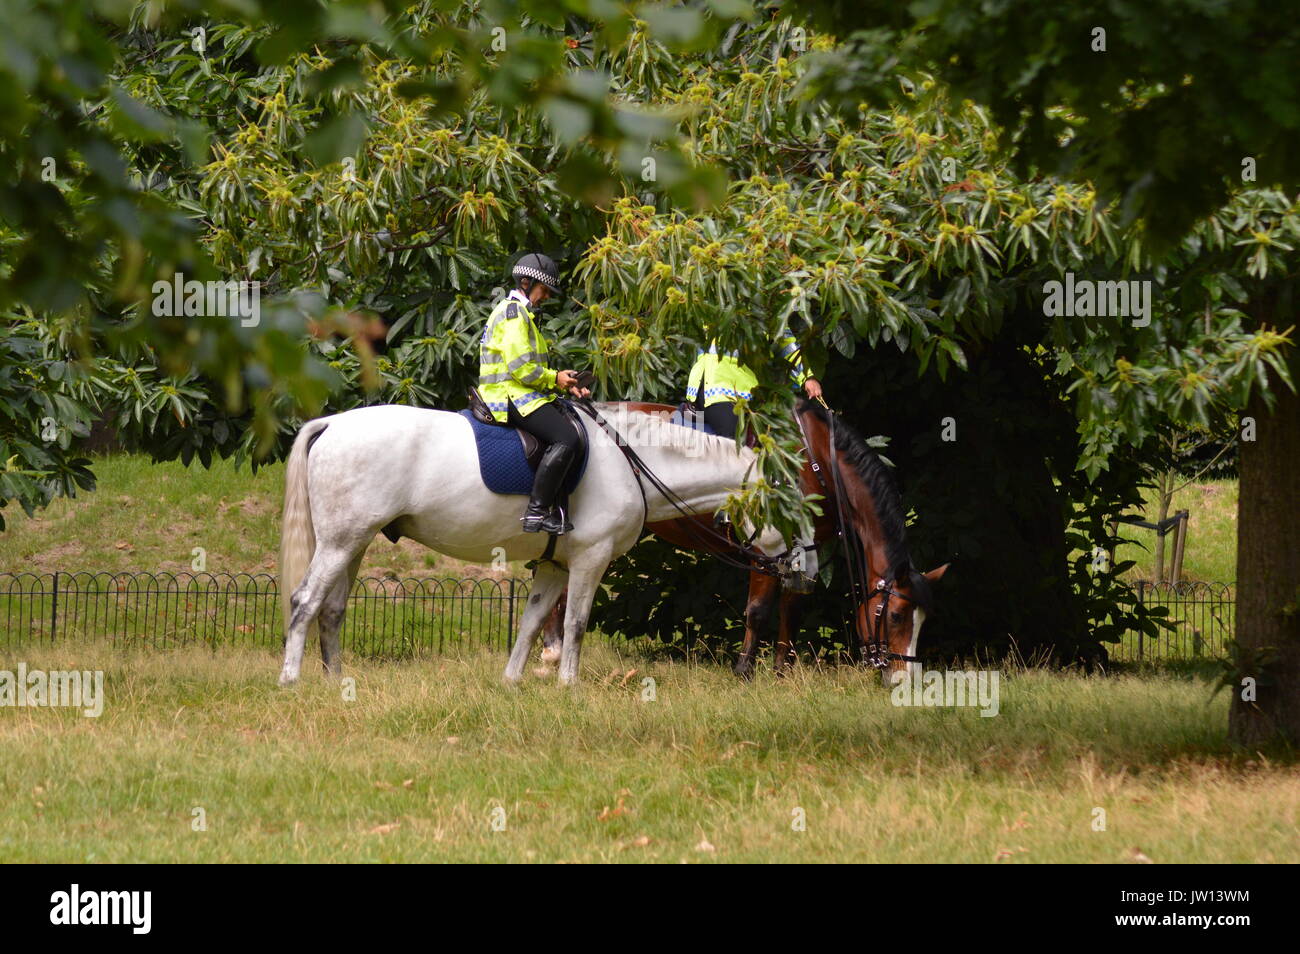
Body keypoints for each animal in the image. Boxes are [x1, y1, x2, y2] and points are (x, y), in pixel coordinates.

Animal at [275, 402, 780, 686]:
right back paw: (291, 678)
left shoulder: (556, 566)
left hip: (353, 544)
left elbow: (533, 622)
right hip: (339, 543)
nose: (793, 568)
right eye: (783, 506)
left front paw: (512, 681)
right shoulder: (590, 561)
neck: (629, 462)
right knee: (305, 601)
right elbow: (575, 623)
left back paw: (336, 681)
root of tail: (332, 424)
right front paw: (569, 684)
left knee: (332, 609)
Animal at [533, 400, 951, 675]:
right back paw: (552, 649)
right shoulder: (765, 548)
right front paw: (745, 671)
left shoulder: (804, 549)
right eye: (896, 616)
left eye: (924, 619)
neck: (815, 460)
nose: (903, 676)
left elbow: (792, 606)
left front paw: (782, 670)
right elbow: (758, 610)